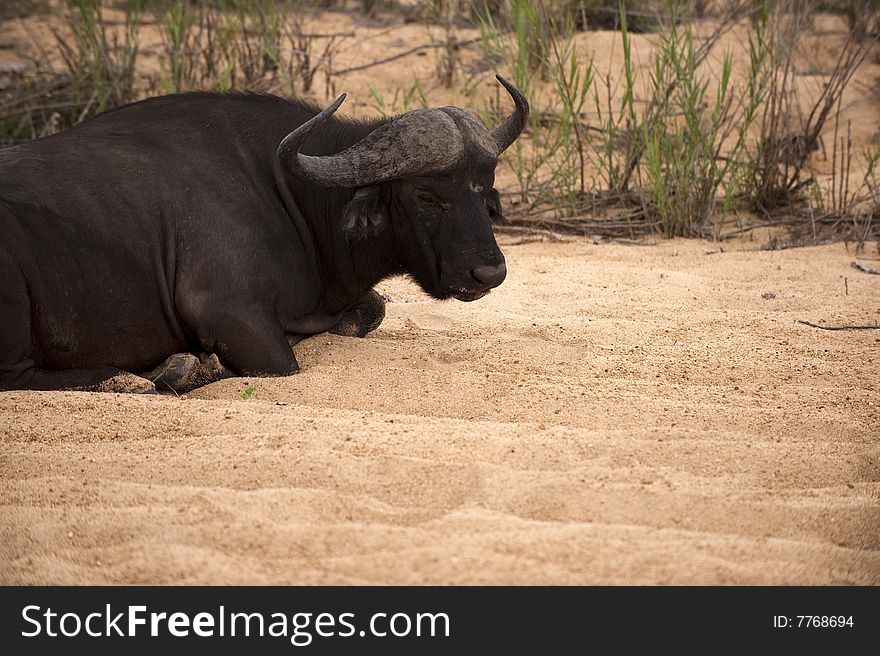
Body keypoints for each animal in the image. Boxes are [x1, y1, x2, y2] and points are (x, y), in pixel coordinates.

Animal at [0, 74, 528, 392]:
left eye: (485, 188)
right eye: (426, 195)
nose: (489, 273)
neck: (287, 195)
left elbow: (373, 309)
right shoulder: (234, 315)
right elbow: (283, 364)